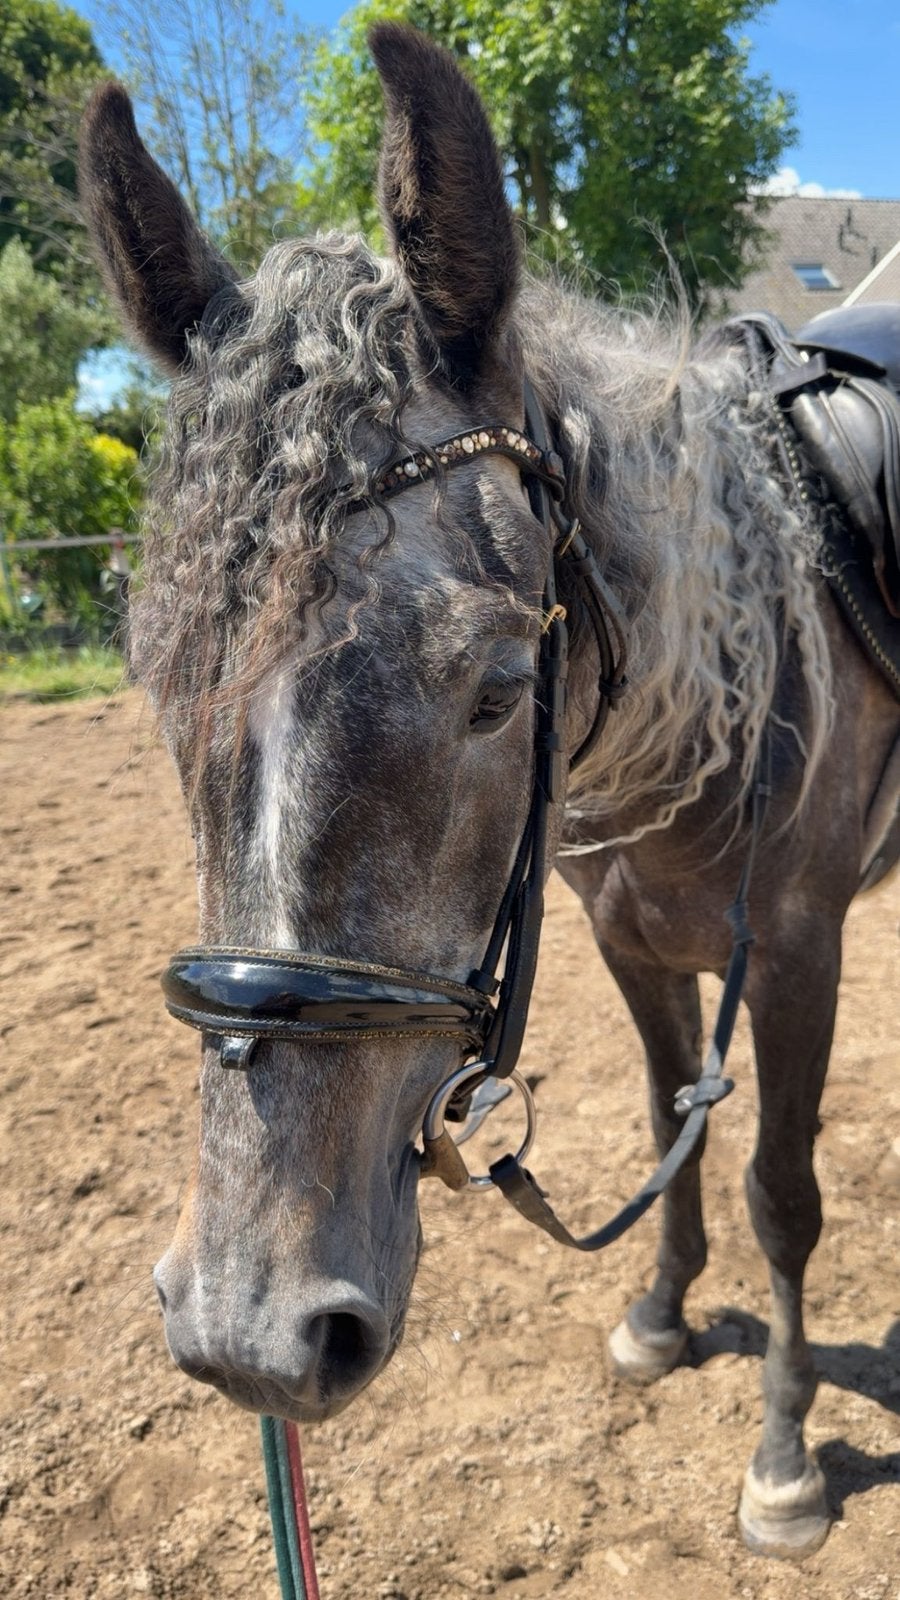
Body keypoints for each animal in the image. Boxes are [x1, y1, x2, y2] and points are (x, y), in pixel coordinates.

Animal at [78, 22, 899, 1562]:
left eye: (500, 689)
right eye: (156, 678)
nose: (249, 1331)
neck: (734, 674)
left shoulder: (799, 949)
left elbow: (781, 1191)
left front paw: (783, 1456)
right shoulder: (629, 939)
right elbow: (671, 1123)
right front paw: (657, 1319)